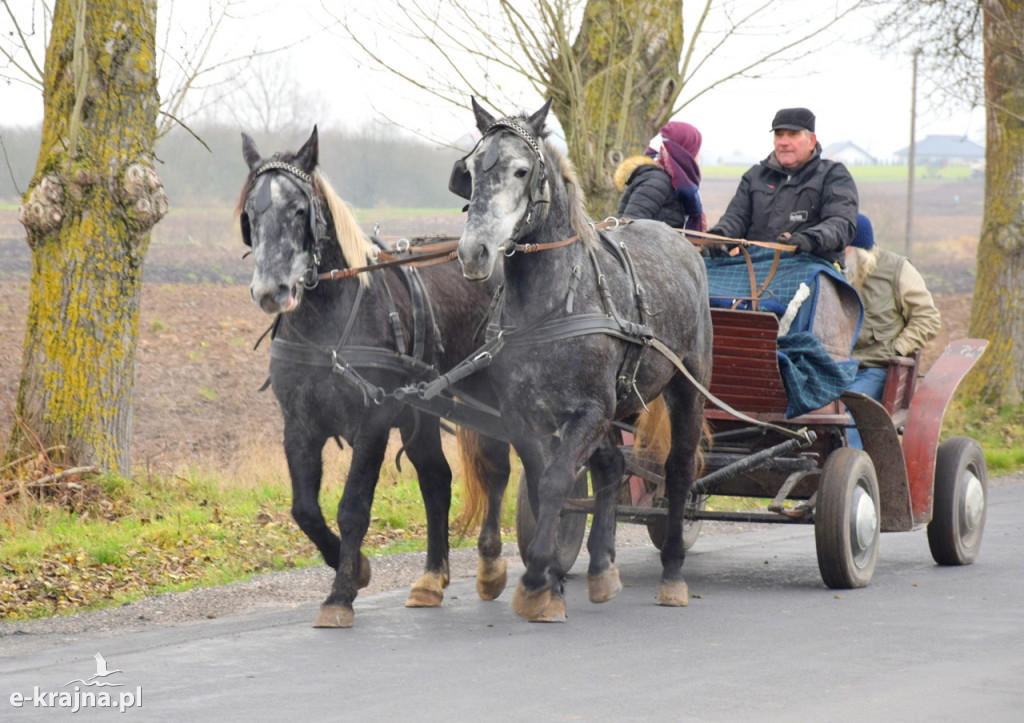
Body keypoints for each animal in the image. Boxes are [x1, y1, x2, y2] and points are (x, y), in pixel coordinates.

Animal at [239, 128, 512, 626]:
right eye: (251, 212)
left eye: (300, 210)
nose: (270, 290)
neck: (328, 322)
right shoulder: (299, 425)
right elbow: (304, 509)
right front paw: (355, 567)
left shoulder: (373, 422)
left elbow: (352, 507)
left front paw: (341, 593)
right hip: (423, 408)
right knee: (436, 478)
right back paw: (431, 578)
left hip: (490, 394)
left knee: (499, 466)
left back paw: (490, 563)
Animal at [456, 99, 712, 618]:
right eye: (470, 171)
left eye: (521, 170)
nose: (474, 253)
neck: (551, 304)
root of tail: (681, 243)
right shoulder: (522, 415)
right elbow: (542, 482)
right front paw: (554, 576)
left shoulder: (590, 411)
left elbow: (557, 481)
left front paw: (537, 580)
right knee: (612, 467)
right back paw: (601, 567)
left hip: (686, 388)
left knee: (679, 471)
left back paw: (673, 573)